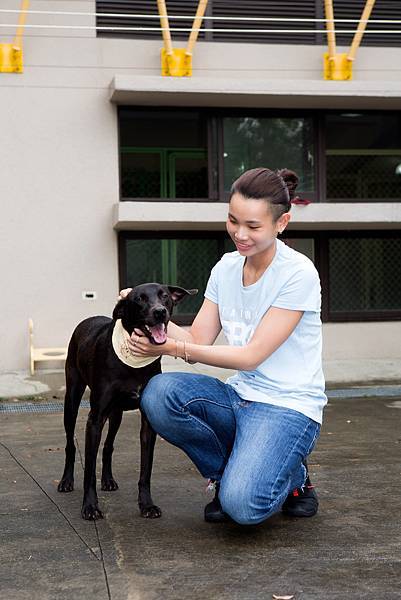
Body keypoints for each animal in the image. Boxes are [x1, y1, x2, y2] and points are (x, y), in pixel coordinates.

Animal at [56, 284, 197, 516]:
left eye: (164, 296)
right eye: (139, 299)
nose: (160, 312)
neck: (134, 362)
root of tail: (88, 319)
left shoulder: (148, 423)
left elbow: (145, 470)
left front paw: (147, 504)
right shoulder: (95, 420)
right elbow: (89, 471)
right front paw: (90, 506)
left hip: (116, 415)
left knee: (108, 446)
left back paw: (108, 480)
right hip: (72, 401)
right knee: (70, 444)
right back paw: (66, 481)